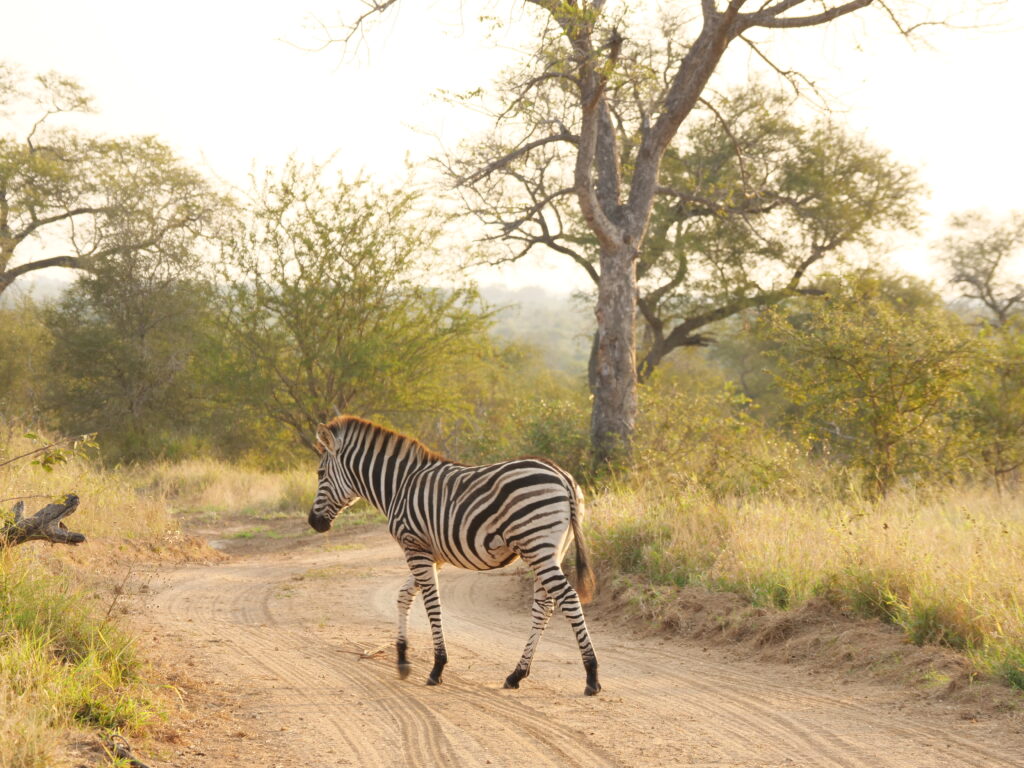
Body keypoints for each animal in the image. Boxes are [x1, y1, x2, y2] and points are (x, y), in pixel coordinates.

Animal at [308, 415, 601, 696]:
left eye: (320, 473)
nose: (313, 523)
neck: (398, 486)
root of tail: (562, 475)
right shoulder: (432, 555)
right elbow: (404, 596)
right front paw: (402, 659)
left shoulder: (415, 547)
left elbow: (431, 604)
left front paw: (437, 667)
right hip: (550, 551)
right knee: (544, 606)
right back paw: (516, 674)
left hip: (536, 546)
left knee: (568, 598)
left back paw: (591, 676)